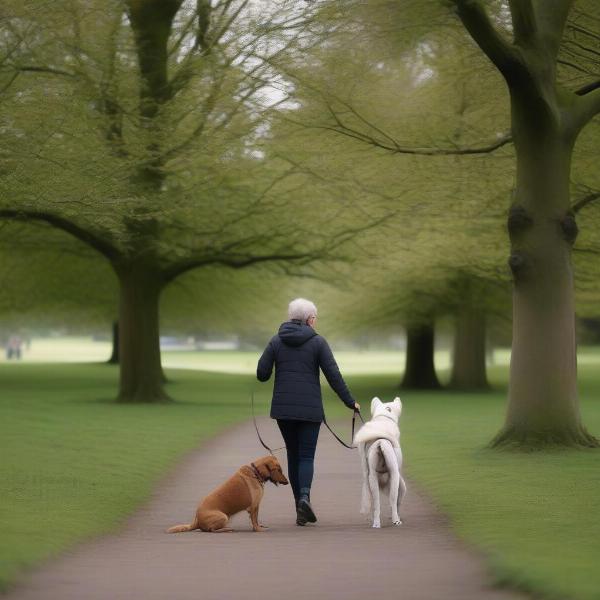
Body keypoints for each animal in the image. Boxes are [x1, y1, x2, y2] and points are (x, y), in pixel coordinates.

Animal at [354, 398, 406, 528]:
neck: (383, 417)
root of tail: (381, 442)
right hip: (398, 481)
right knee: (394, 502)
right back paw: (396, 520)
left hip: (371, 479)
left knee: (376, 505)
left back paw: (376, 523)